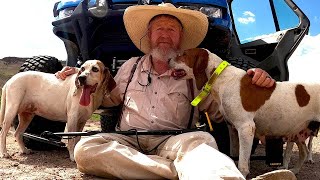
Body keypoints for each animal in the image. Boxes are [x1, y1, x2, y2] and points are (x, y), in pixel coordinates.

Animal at [169, 47, 318, 177]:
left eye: (183, 54)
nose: (168, 59)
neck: (222, 78)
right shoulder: (233, 129)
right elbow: (235, 156)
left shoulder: (246, 128)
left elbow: (242, 164)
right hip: (299, 133)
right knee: (304, 153)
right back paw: (294, 170)